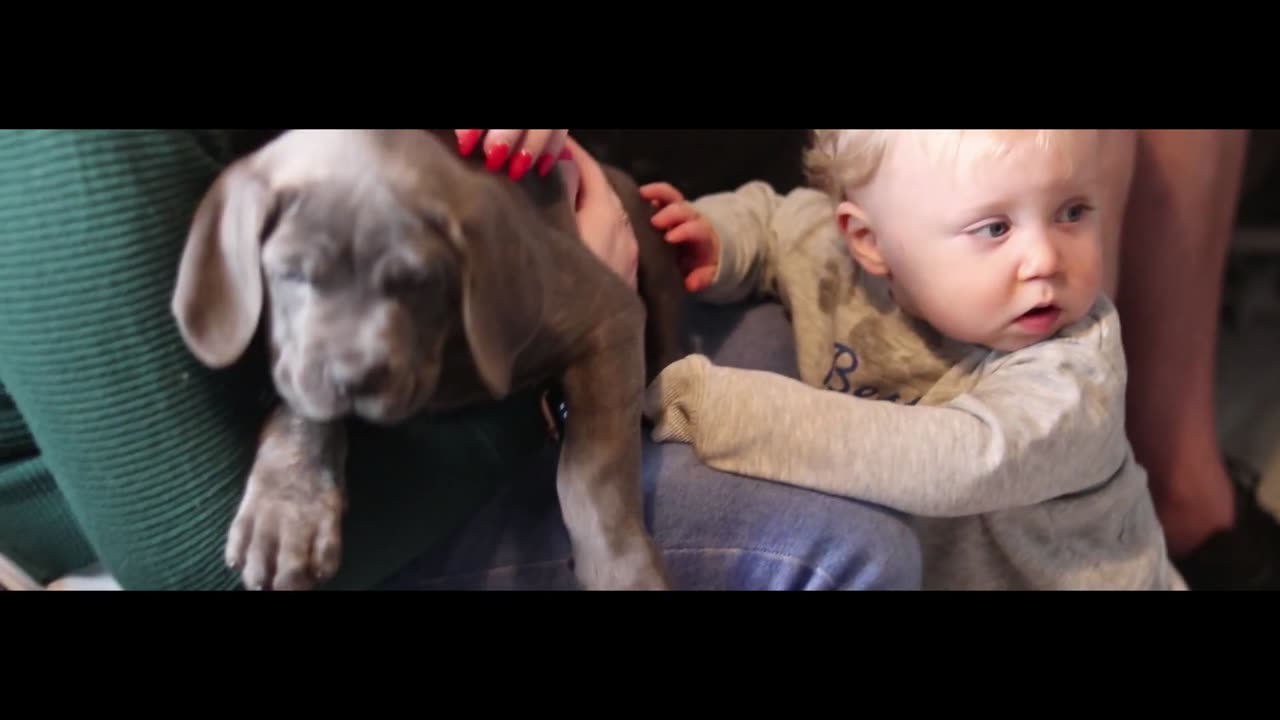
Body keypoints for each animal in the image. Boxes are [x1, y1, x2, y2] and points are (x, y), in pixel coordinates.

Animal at [174, 128, 691, 589]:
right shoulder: (301, 368)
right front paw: (287, 508)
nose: (354, 378)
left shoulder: (608, 317)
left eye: (417, 281)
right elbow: (299, 399)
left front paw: (622, 569)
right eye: (291, 273)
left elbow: (594, 473)